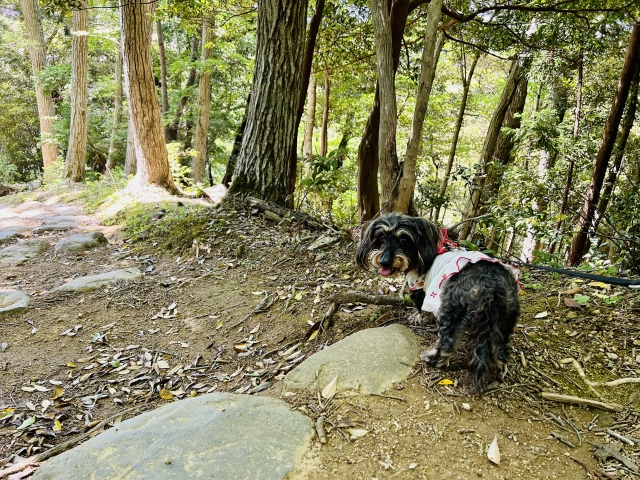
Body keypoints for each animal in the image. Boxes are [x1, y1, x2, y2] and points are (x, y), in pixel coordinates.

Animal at [356, 214, 520, 394]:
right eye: (381, 237)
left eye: (404, 239)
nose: (384, 262)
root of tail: (490, 287)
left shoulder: (417, 287)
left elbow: (421, 308)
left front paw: (419, 318)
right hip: (504, 321)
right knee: (499, 349)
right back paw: (499, 368)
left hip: (451, 311)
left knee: (447, 342)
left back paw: (434, 358)